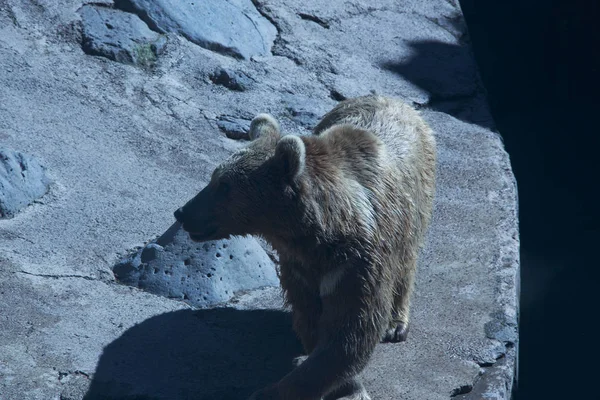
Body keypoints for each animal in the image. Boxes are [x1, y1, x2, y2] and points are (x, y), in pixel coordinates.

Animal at [173, 95, 436, 398]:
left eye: (224, 185)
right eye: (214, 177)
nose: (183, 212)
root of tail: (393, 100)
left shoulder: (359, 262)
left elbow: (352, 329)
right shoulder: (299, 265)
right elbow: (312, 320)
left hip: (416, 204)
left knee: (407, 260)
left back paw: (396, 324)